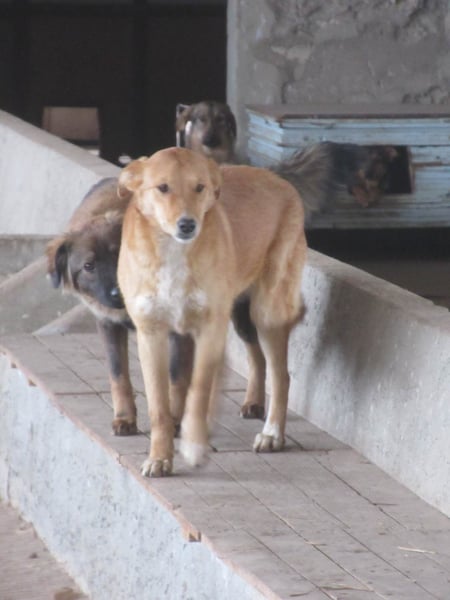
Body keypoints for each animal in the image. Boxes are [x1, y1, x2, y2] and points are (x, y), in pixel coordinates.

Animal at [117, 147, 309, 477]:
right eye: (163, 187)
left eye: (200, 187)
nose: (187, 224)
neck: (173, 252)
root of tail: (280, 180)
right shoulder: (151, 334)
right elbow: (159, 407)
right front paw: (159, 457)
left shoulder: (209, 329)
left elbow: (198, 389)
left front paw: (193, 445)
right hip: (240, 314)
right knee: (254, 357)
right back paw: (250, 403)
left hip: (265, 312)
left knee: (281, 375)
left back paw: (272, 434)